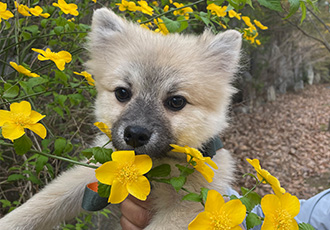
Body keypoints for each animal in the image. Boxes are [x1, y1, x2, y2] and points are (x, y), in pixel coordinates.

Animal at [0, 8, 242, 229]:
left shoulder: (187, 207)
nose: (135, 134)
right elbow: (43, 202)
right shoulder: (93, 173)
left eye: (176, 101)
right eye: (122, 93)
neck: (155, 165)